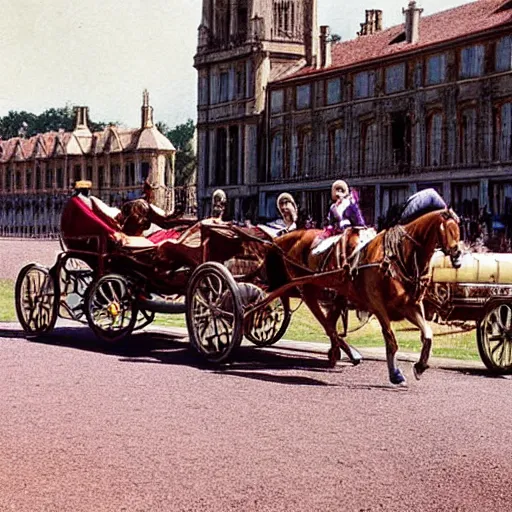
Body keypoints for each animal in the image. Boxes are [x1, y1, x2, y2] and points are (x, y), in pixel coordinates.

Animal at [266, 208, 462, 384]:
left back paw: (340, 352)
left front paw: (420, 365)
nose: (458, 255)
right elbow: (391, 339)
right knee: (327, 324)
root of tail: (288, 238)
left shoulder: (410, 305)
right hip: (307, 290)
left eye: (458, 229)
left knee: (330, 325)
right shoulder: (378, 305)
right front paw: (395, 374)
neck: (395, 259)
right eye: (447, 229)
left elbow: (427, 335)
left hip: (334, 294)